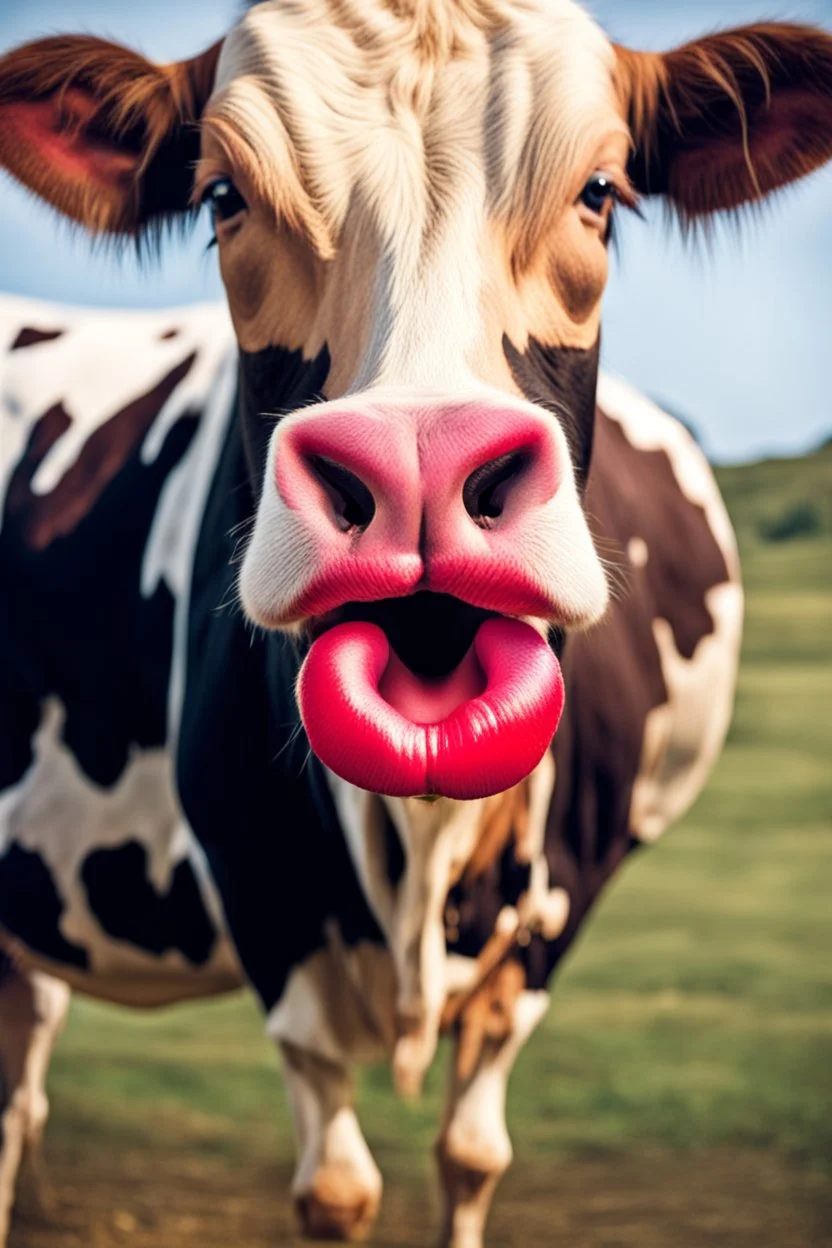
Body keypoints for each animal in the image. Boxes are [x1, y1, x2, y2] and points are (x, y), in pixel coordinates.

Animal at [0, 1, 830, 1244]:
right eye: (221, 196)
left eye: (600, 192)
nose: (420, 464)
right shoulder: (265, 902)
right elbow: (337, 1192)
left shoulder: (553, 915)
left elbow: (472, 1155)